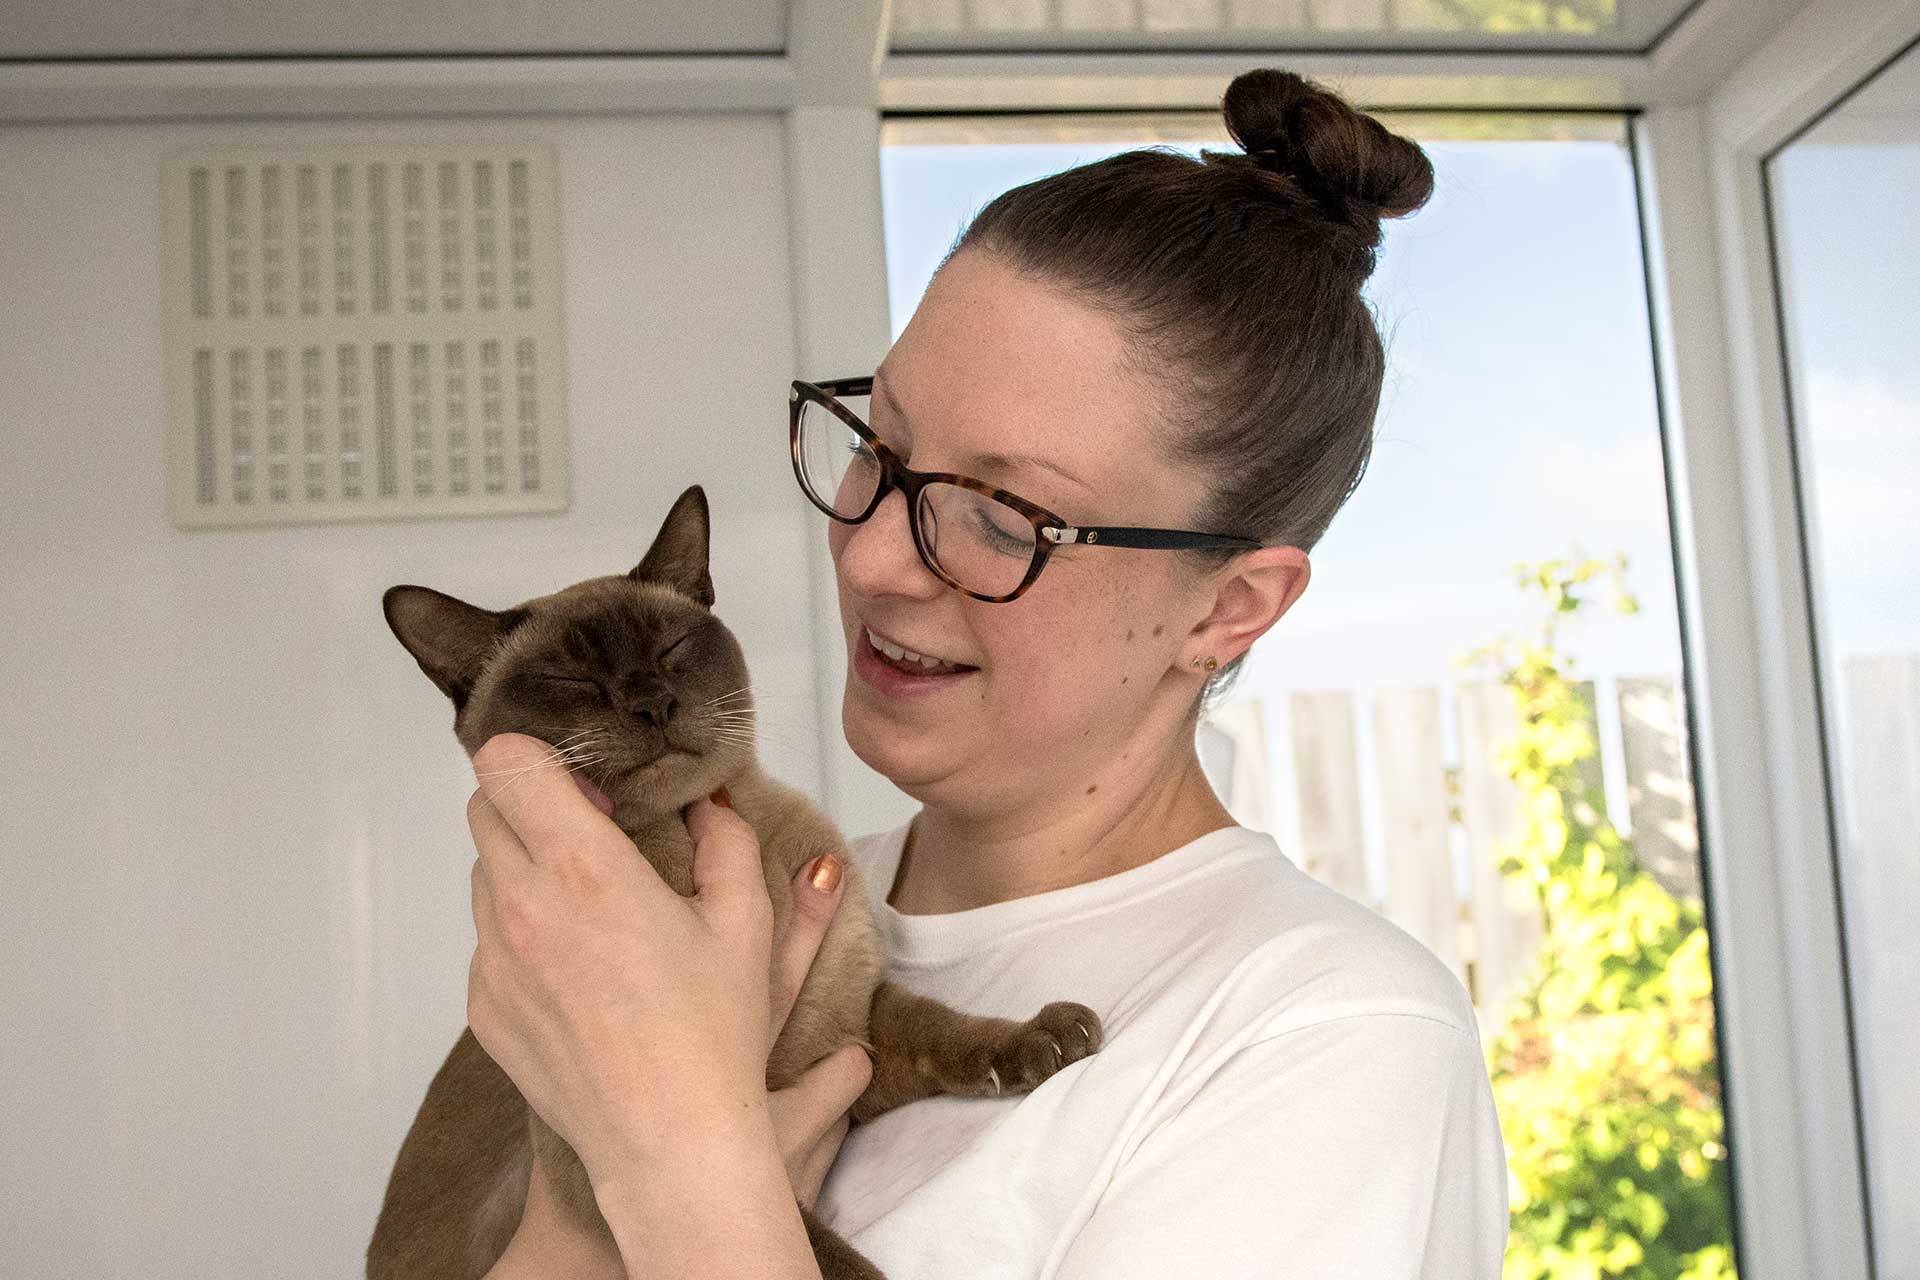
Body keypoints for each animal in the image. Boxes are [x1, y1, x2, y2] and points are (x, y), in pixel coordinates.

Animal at [367, 484, 1105, 1280]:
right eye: (573, 682)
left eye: (670, 649)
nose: (652, 701)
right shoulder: (621, 1171)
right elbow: (817, 1252)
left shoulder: (848, 1032)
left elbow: (944, 1026)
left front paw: (1048, 1039)